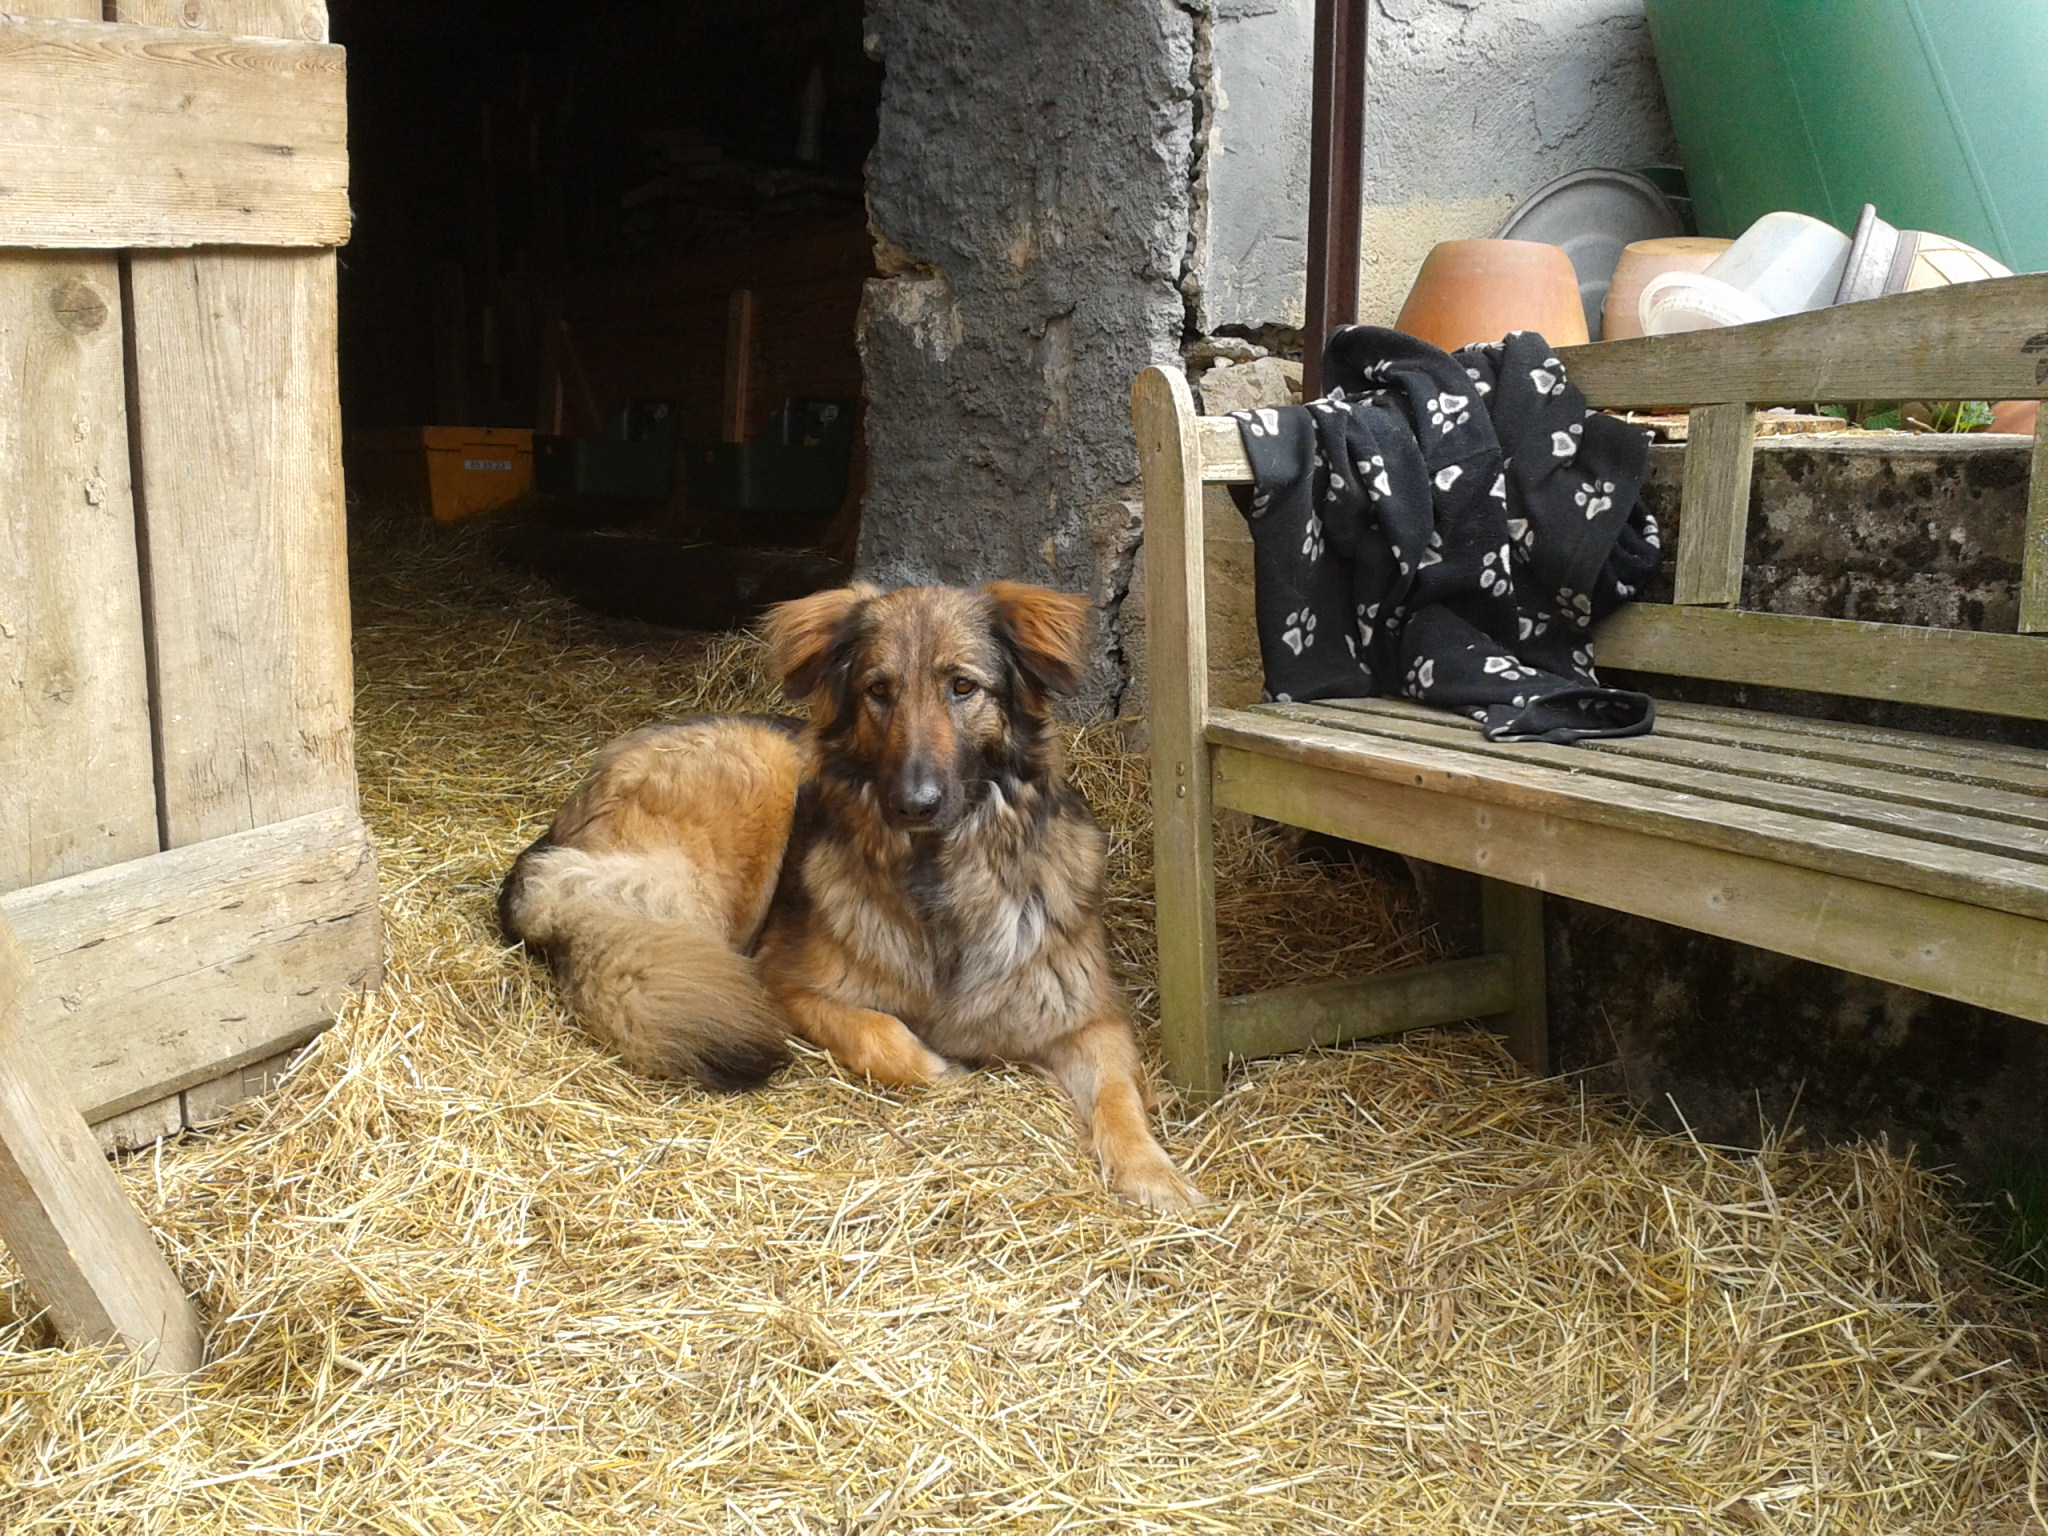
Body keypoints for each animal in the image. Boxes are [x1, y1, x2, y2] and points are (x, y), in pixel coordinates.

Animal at [501, 581, 1204, 1212]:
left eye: (963, 687)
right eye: (878, 691)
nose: (914, 803)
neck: (939, 875)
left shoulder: (1088, 1016)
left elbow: (1118, 1096)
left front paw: (1154, 1174)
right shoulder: (786, 983)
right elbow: (883, 1035)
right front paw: (942, 1069)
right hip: (762, 781)